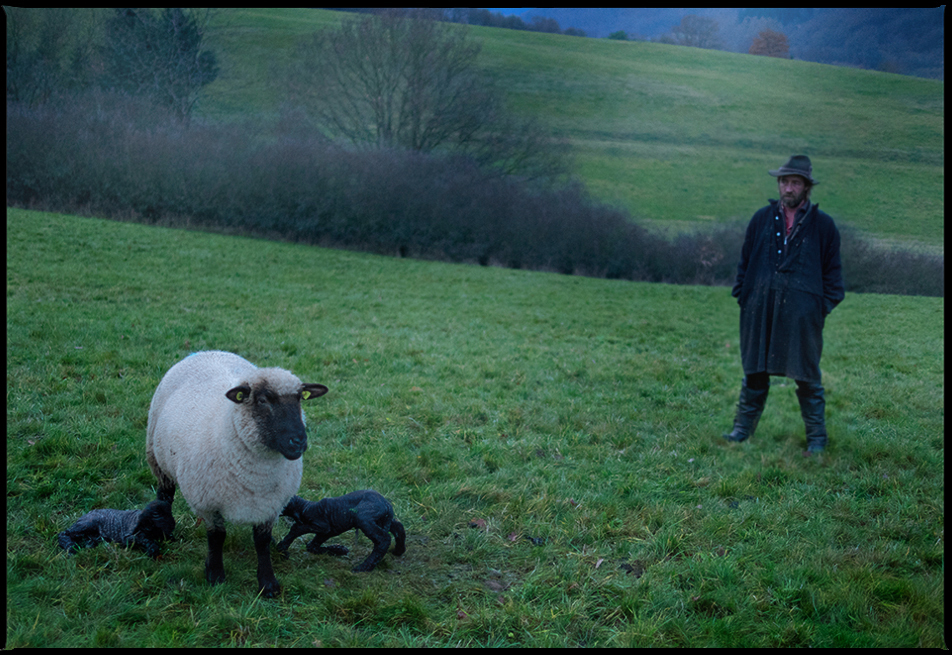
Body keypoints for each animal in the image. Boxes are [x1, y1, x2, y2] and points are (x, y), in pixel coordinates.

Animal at [145, 352, 330, 596]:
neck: (255, 476)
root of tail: (206, 351)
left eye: (300, 399)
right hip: (157, 459)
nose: (298, 442)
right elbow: (217, 537)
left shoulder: (270, 504)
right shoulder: (208, 503)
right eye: (263, 400)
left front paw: (268, 583)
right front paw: (215, 575)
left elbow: (262, 541)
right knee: (165, 495)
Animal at [278, 490, 408, 572]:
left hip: (364, 518)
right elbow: (312, 546)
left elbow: (298, 528)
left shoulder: (322, 526)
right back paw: (399, 550)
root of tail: (388, 505)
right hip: (381, 520)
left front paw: (282, 548)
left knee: (384, 539)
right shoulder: (329, 532)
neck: (305, 507)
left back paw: (363, 568)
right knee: (398, 526)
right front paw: (340, 550)